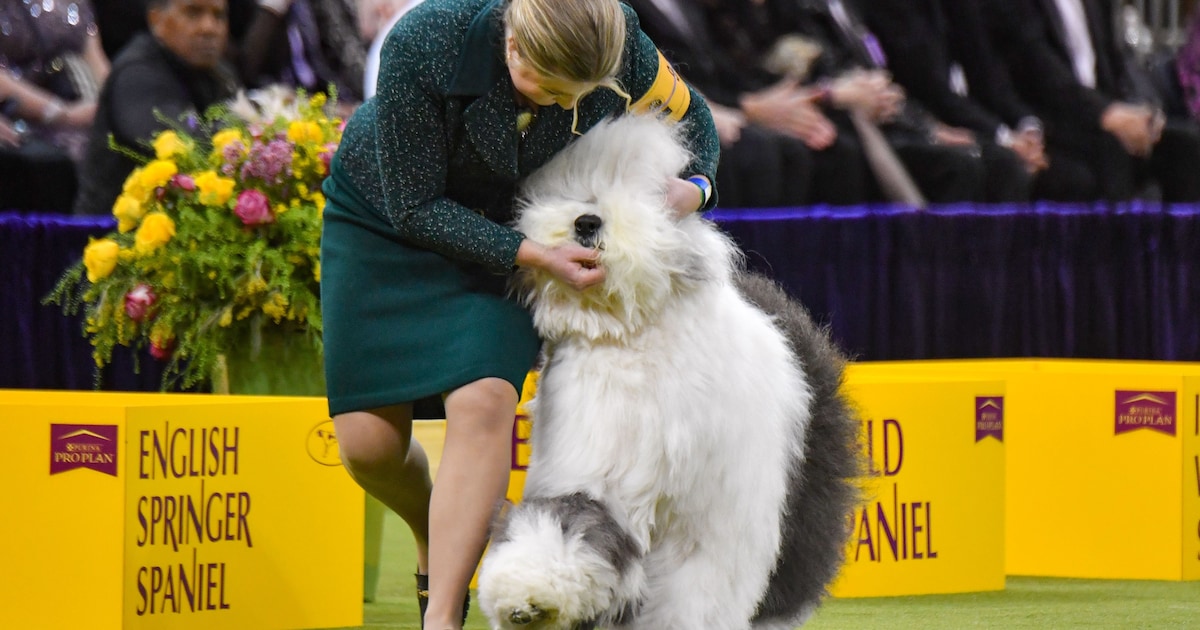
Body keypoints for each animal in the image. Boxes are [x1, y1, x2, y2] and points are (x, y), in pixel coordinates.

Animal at [477, 115, 864, 624]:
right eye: (565, 189)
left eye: (641, 191)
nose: (586, 222)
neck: (632, 339)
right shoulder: (591, 469)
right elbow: (566, 522)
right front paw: (529, 595)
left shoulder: (713, 518)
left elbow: (696, 589)